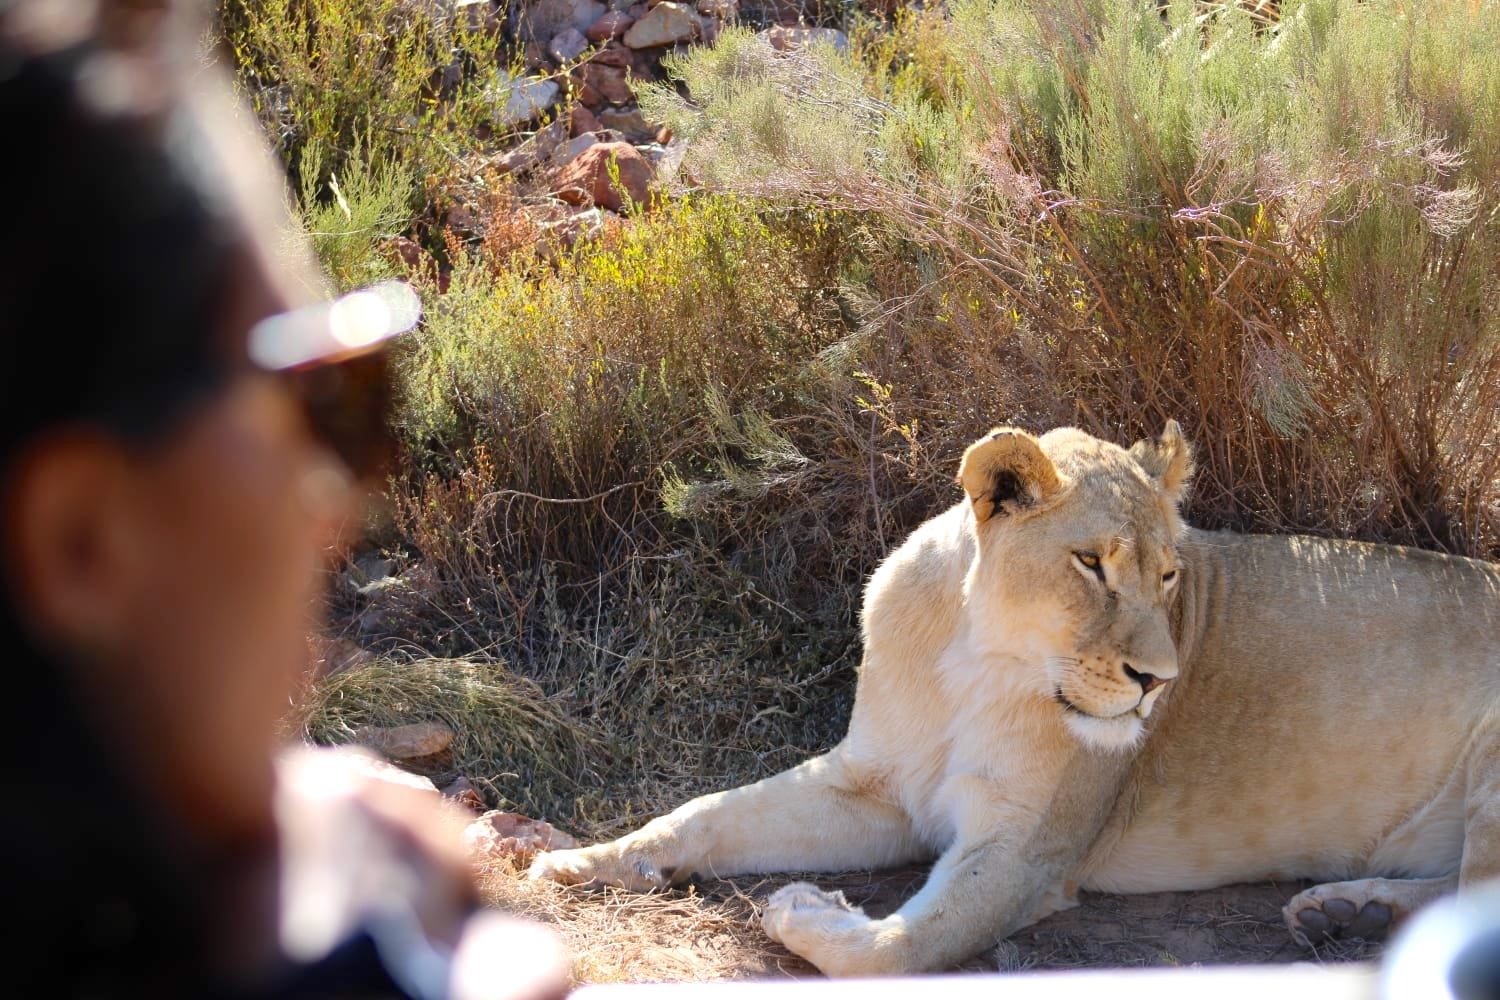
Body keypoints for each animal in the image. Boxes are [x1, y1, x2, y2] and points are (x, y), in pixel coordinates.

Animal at [530, 423, 1500, 976]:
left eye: (1169, 575)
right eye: (1092, 563)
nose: (1159, 683)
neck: (975, 661)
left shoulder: (1025, 849)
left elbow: (898, 948)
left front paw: (802, 909)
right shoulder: (875, 788)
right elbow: (707, 813)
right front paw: (583, 860)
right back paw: (1349, 910)